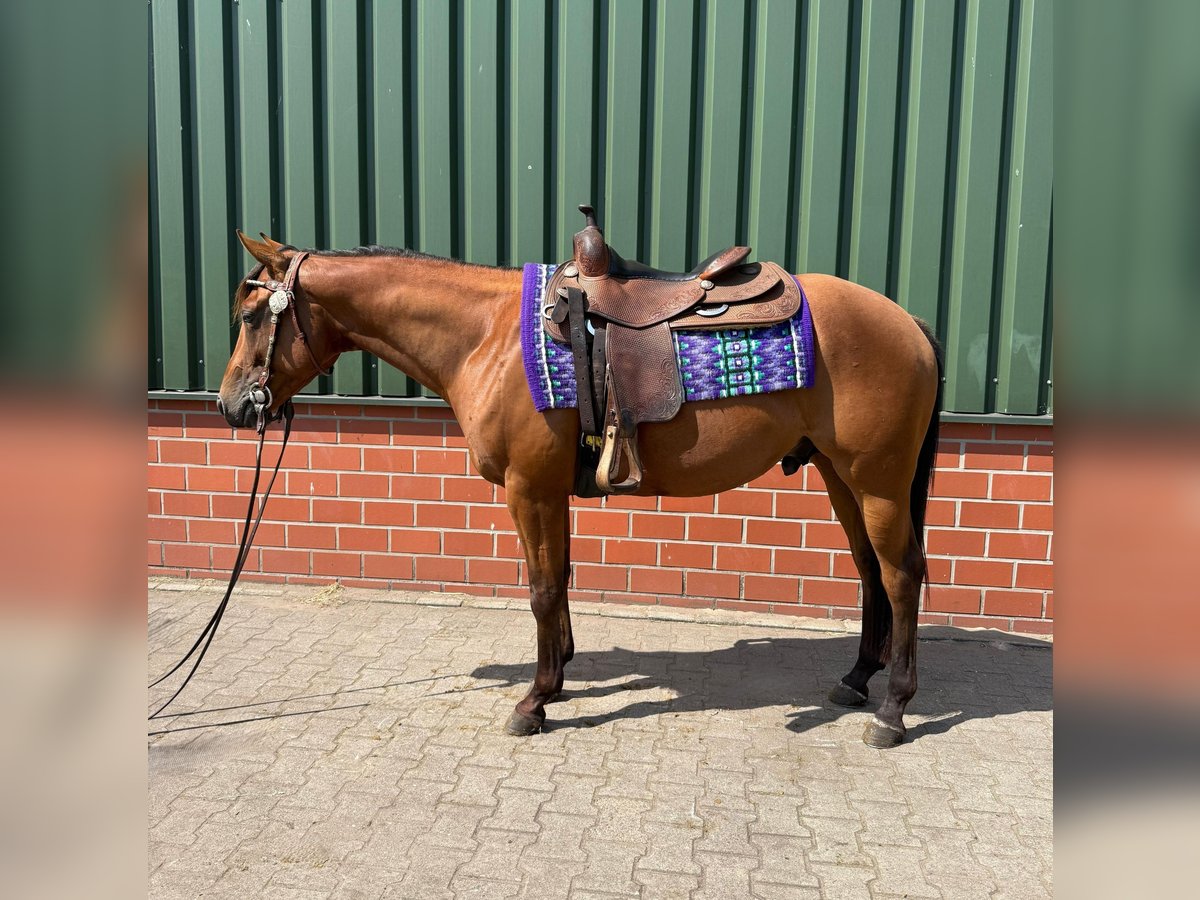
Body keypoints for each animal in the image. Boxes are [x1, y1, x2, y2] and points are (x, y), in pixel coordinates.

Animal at [217, 230, 943, 748]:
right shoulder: (549, 491)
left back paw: (893, 710)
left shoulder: (529, 488)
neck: (487, 336)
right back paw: (855, 680)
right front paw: (559, 677)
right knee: (870, 572)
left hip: (878, 481)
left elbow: (542, 590)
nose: (232, 406)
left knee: (902, 574)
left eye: (252, 315)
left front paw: (534, 701)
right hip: (841, 476)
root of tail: (909, 322)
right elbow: (560, 580)